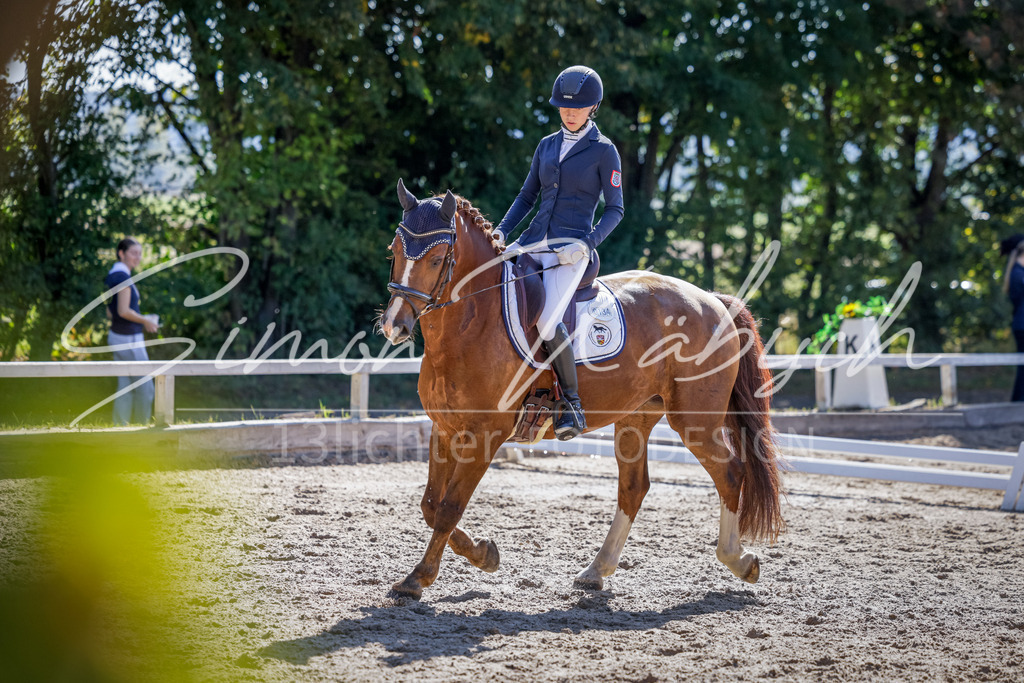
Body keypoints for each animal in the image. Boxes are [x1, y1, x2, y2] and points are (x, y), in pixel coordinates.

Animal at [379, 180, 784, 599]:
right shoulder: (443, 429)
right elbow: (430, 505)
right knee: (633, 488)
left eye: (436, 258)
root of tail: (713, 301)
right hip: (636, 417)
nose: (394, 325)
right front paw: (484, 554)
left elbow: (448, 507)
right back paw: (596, 570)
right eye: (394, 250)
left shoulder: (485, 436)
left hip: (695, 422)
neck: (473, 324)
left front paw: (418, 578)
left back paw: (740, 561)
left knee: (731, 474)